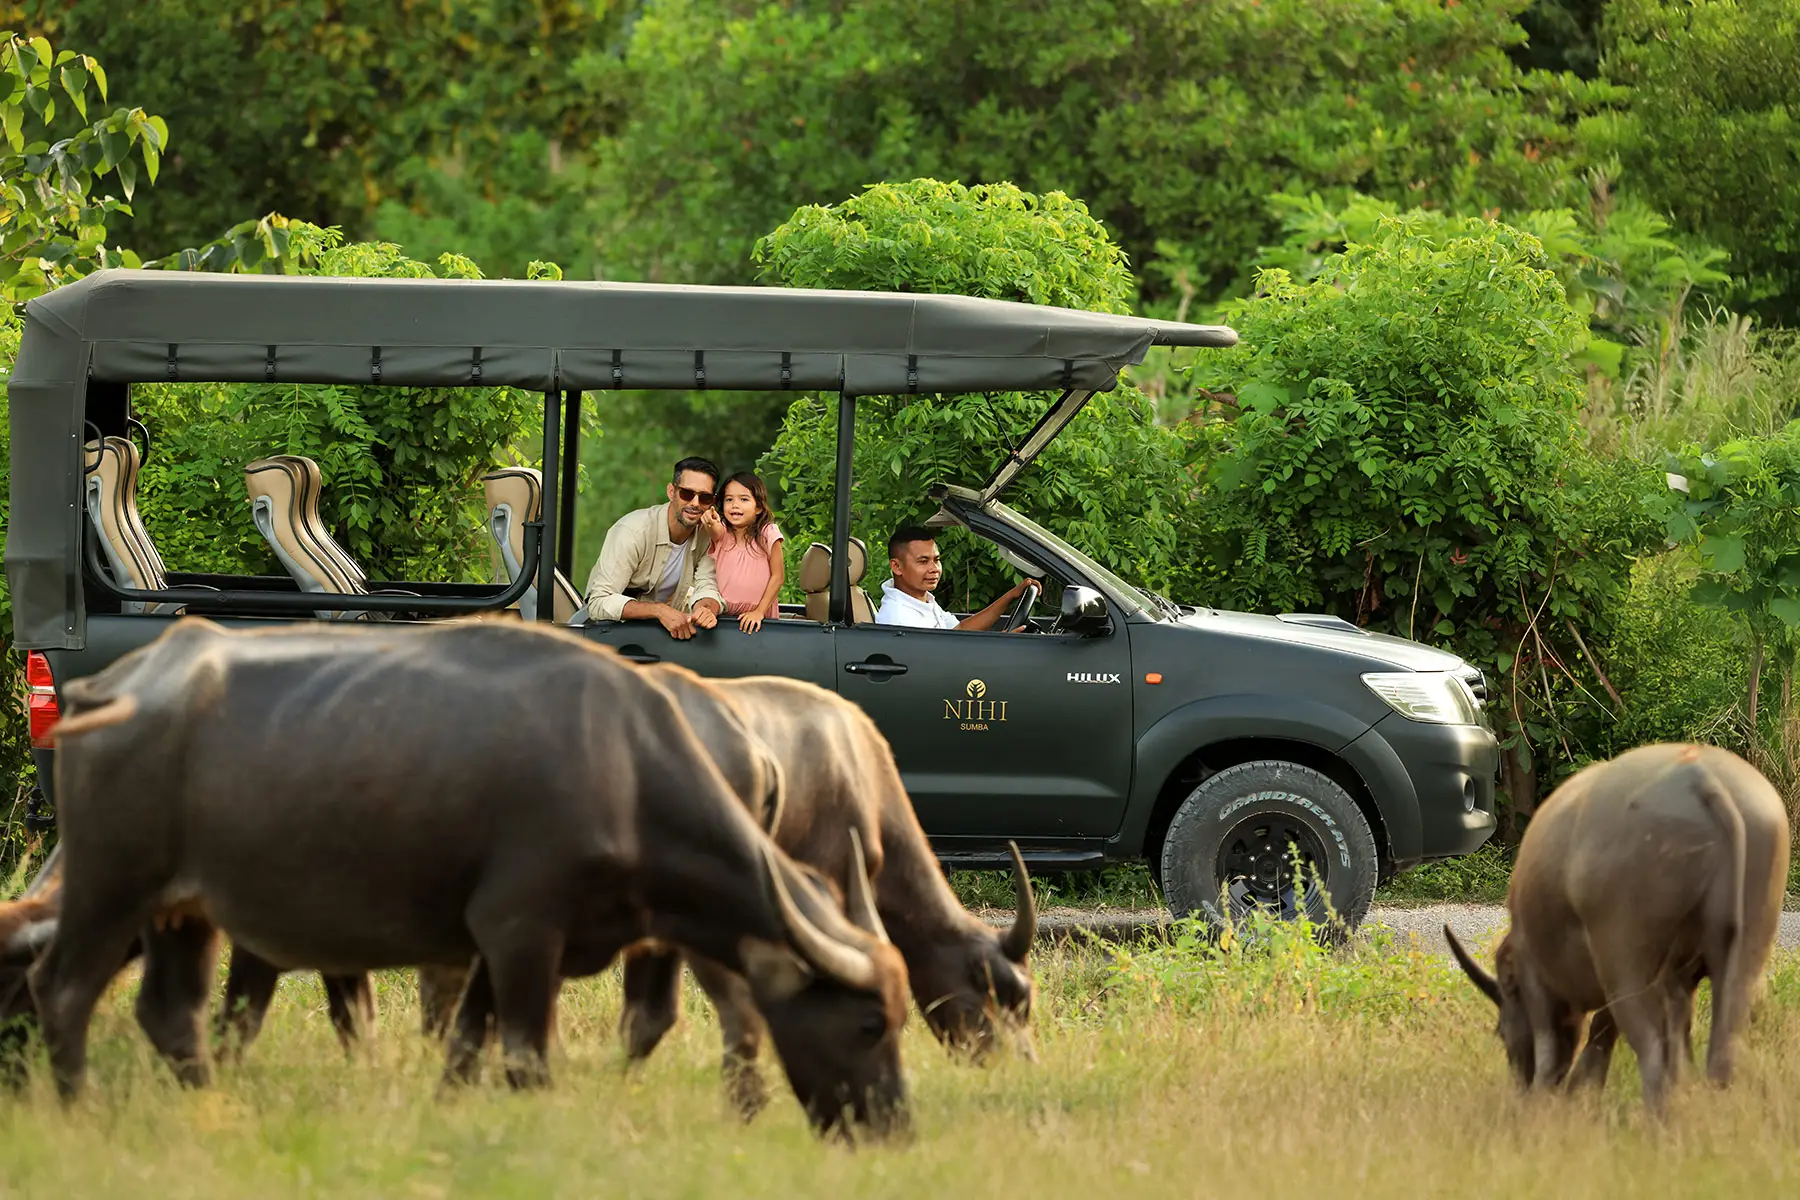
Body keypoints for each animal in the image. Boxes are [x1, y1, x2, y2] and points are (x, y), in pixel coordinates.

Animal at [28, 617, 912, 1137]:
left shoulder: (499, 946)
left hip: (185, 911)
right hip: (110, 889)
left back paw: (209, 1111)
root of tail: (109, 687)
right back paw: (76, 1109)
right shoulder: (523, 934)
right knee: (63, 989)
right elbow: (523, 1058)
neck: (624, 766)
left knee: (172, 1014)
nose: (893, 1126)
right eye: (871, 1024)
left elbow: (462, 1046)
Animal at [1446, 742, 1788, 1113]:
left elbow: (1551, 1045)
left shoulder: (1538, 977)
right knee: (1722, 1045)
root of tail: (1701, 779)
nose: (1519, 1084)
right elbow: (1615, 1031)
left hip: (1626, 956)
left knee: (1652, 1050)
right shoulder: (1672, 981)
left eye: (1500, 1031)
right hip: (1745, 946)